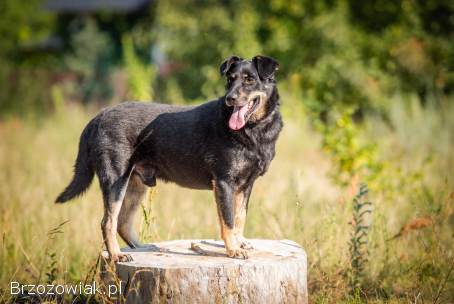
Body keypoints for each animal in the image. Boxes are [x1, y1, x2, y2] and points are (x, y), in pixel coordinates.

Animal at [56, 55, 282, 262]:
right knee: (108, 222)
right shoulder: (223, 182)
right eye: (230, 79)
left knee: (123, 222)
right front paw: (233, 249)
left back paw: (145, 247)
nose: (230, 98)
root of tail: (98, 117)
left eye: (249, 79)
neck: (253, 129)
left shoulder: (245, 184)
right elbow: (227, 220)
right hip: (115, 181)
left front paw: (240, 242)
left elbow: (240, 216)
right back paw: (117, 255)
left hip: (135, 185)